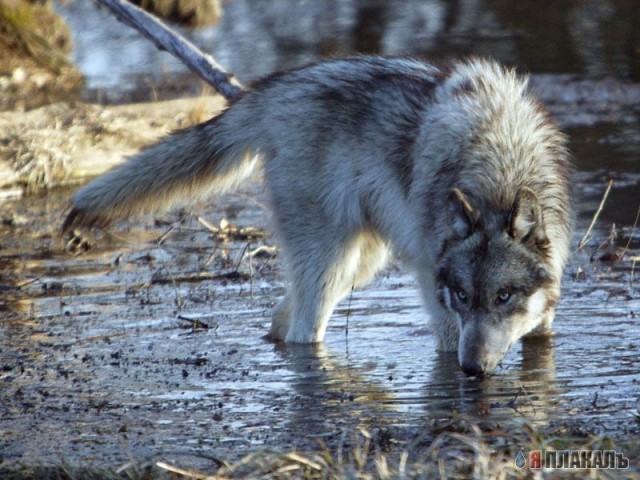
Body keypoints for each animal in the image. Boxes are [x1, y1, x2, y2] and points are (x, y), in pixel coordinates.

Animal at [62, 56, 572, 376]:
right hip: (331, 268)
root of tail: (270, 89)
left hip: (359, 265)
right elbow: (446, 342)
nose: (472, 369)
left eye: (504, 296)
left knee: (279, 323)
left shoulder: (544, 314)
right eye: (463, 296)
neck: (500, 163)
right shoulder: (438, 296)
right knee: (302, 334)